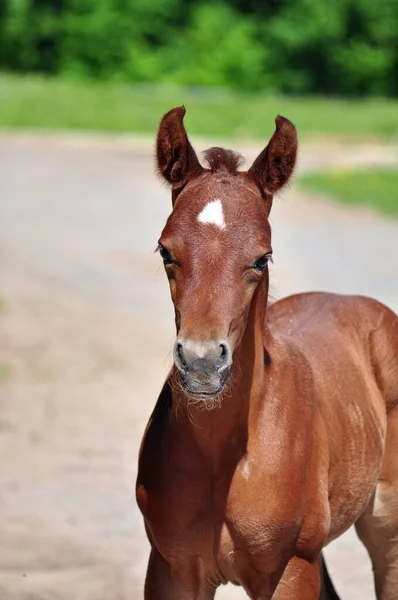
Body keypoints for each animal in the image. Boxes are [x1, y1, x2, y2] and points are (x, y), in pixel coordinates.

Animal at [137, 108, 398, 600]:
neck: (224, 456)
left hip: (384, 528)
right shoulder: (170, 567)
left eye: (262, 257)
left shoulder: (292, 569)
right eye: (165, 250)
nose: (202, 363)